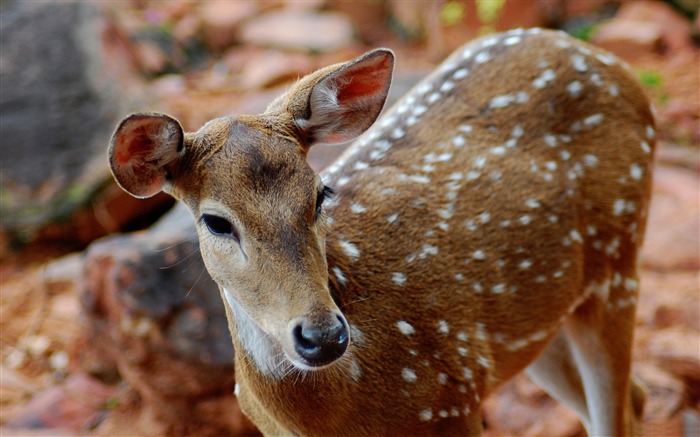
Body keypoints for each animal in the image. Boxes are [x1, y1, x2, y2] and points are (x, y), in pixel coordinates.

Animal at [109, 29, 656, 434]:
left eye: (319, 194)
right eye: (217, 221)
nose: (323, 336)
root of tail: (600, 57)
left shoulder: (450, 401)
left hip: (618, 258)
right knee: (634, 396)